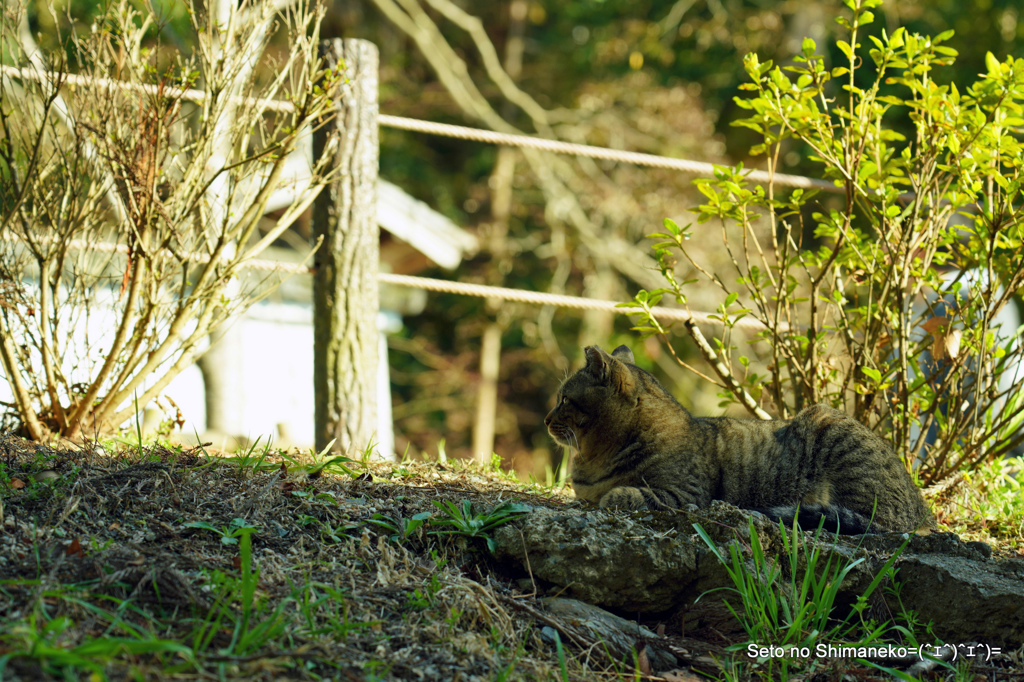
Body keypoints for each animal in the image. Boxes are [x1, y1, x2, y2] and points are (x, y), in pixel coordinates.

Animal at [544, 346, 937, 532]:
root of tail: (923, 511)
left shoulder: (685, 495)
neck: (594, 457)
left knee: (876, 523)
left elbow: (626, 494)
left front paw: (613, 495)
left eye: (564, 399)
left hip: (833, 434)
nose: (546, 419)